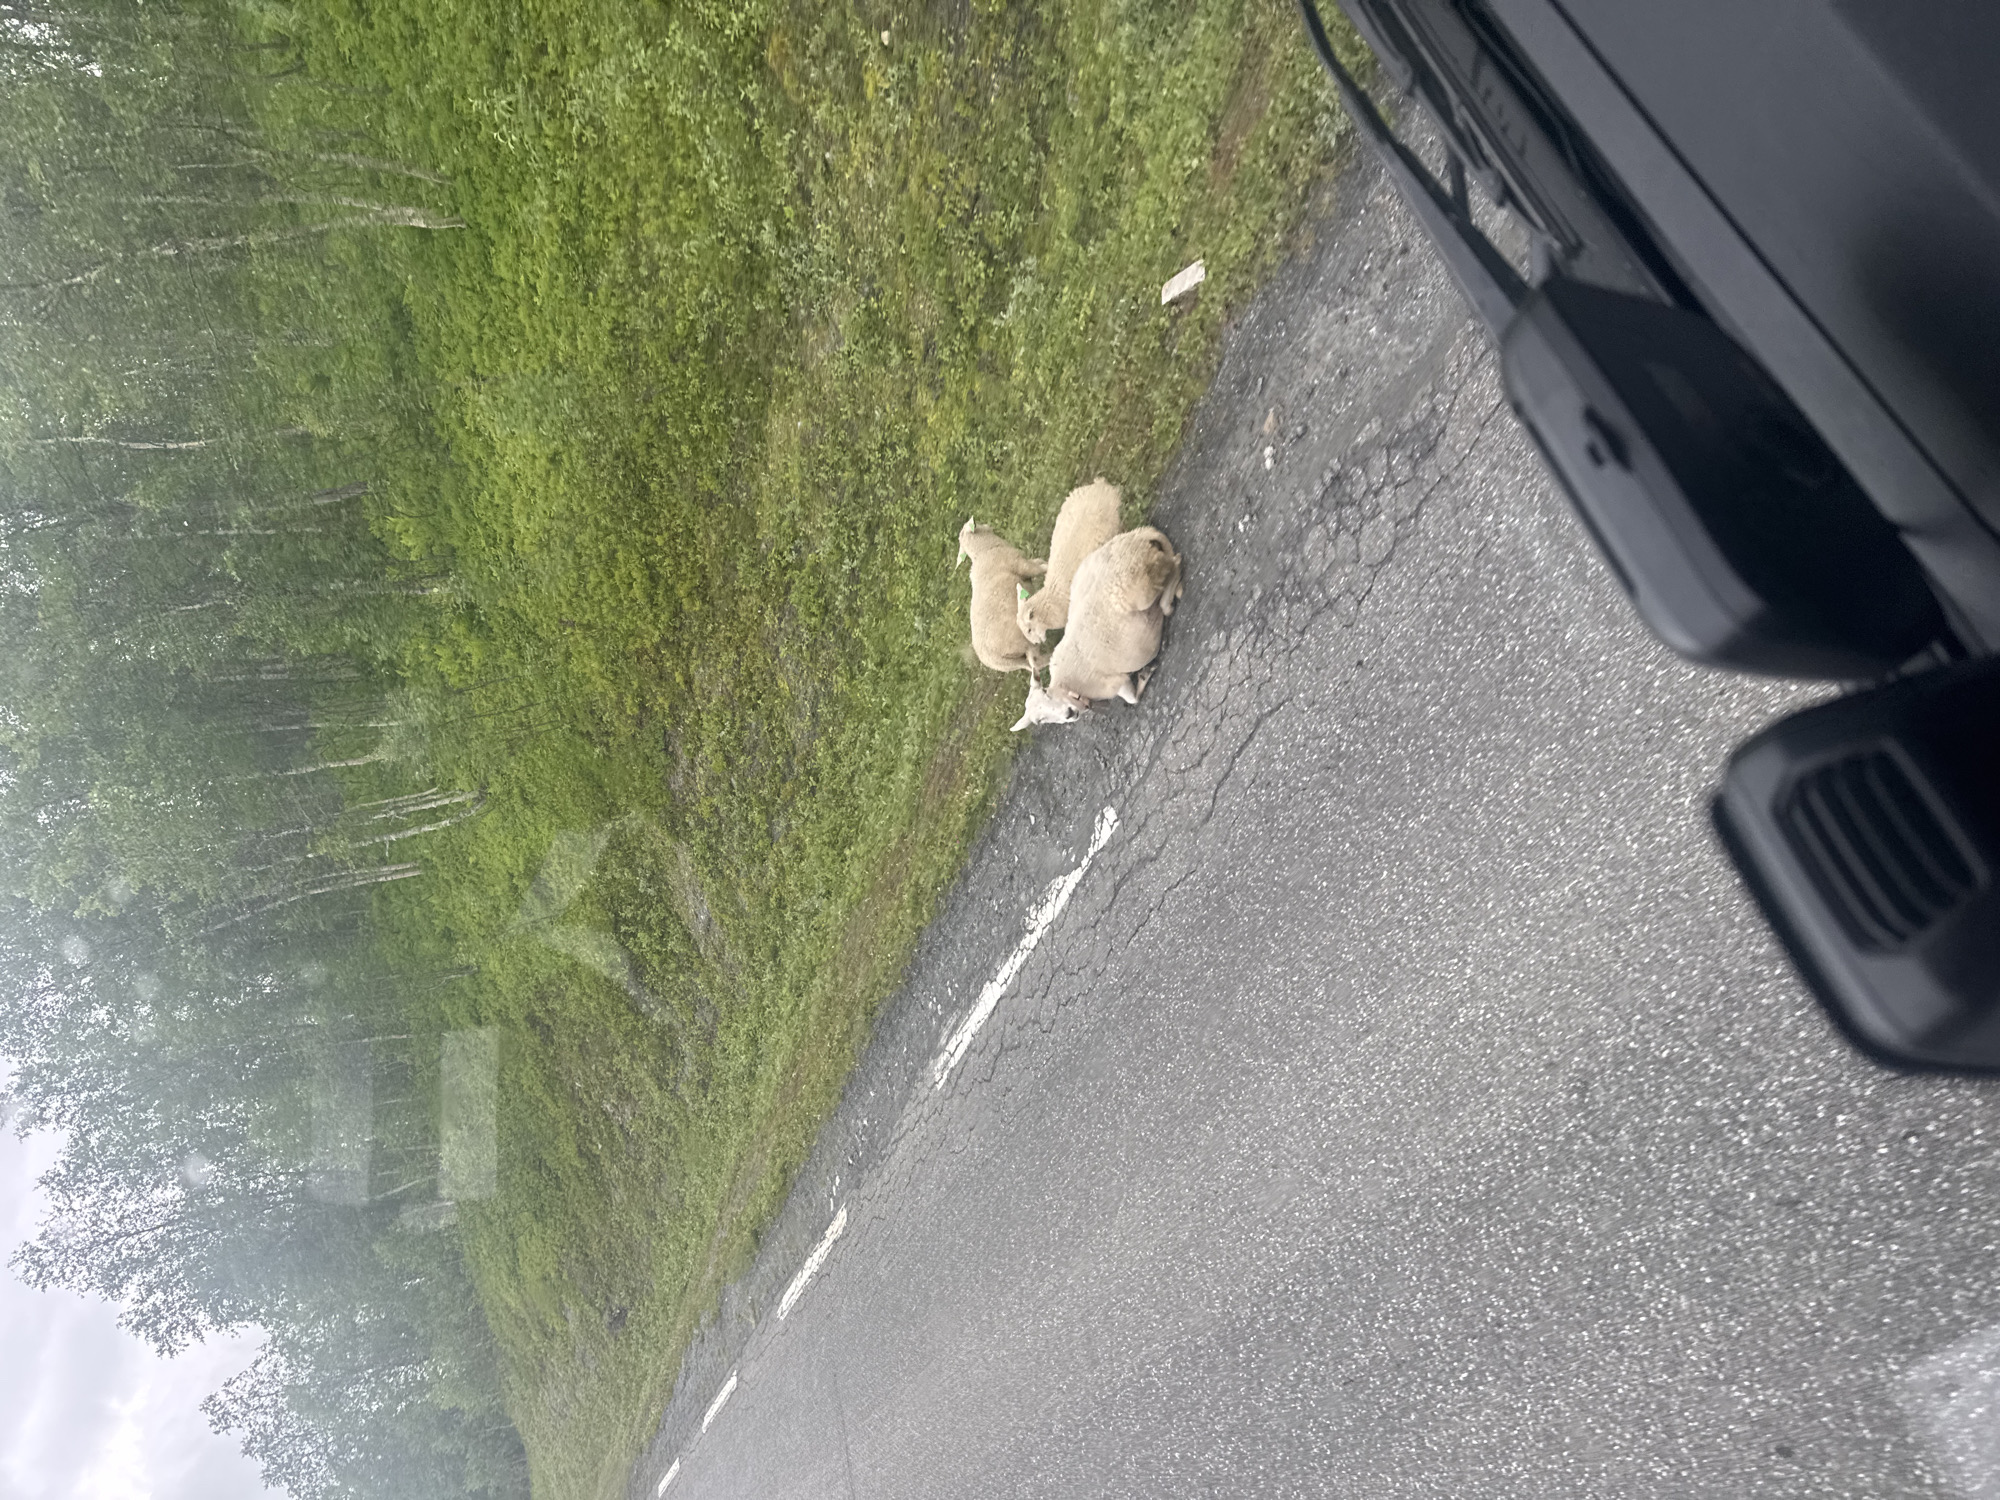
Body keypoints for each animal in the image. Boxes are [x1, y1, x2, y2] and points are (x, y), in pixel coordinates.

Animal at [957, 518, 1047, 675]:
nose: (988, 524)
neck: (984, 550)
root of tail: (992, 658)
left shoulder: (1026, 563)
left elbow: (1040, 561)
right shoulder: (1023, 565)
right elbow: (1040, 568)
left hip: (1013, 663)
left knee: (1034, 666)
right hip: (1026, 640)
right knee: (1037, 660)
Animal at [1012, 525, 1183, 729]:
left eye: (1045, 692)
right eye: (1039, 721)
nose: (1069, 714)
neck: (1069, 687)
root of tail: (1137, 536)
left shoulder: (1116, 683)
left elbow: (1133, 699)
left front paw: (1144, 674)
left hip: (1141, 587)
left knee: (1175, 563)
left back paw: (1169, 601)